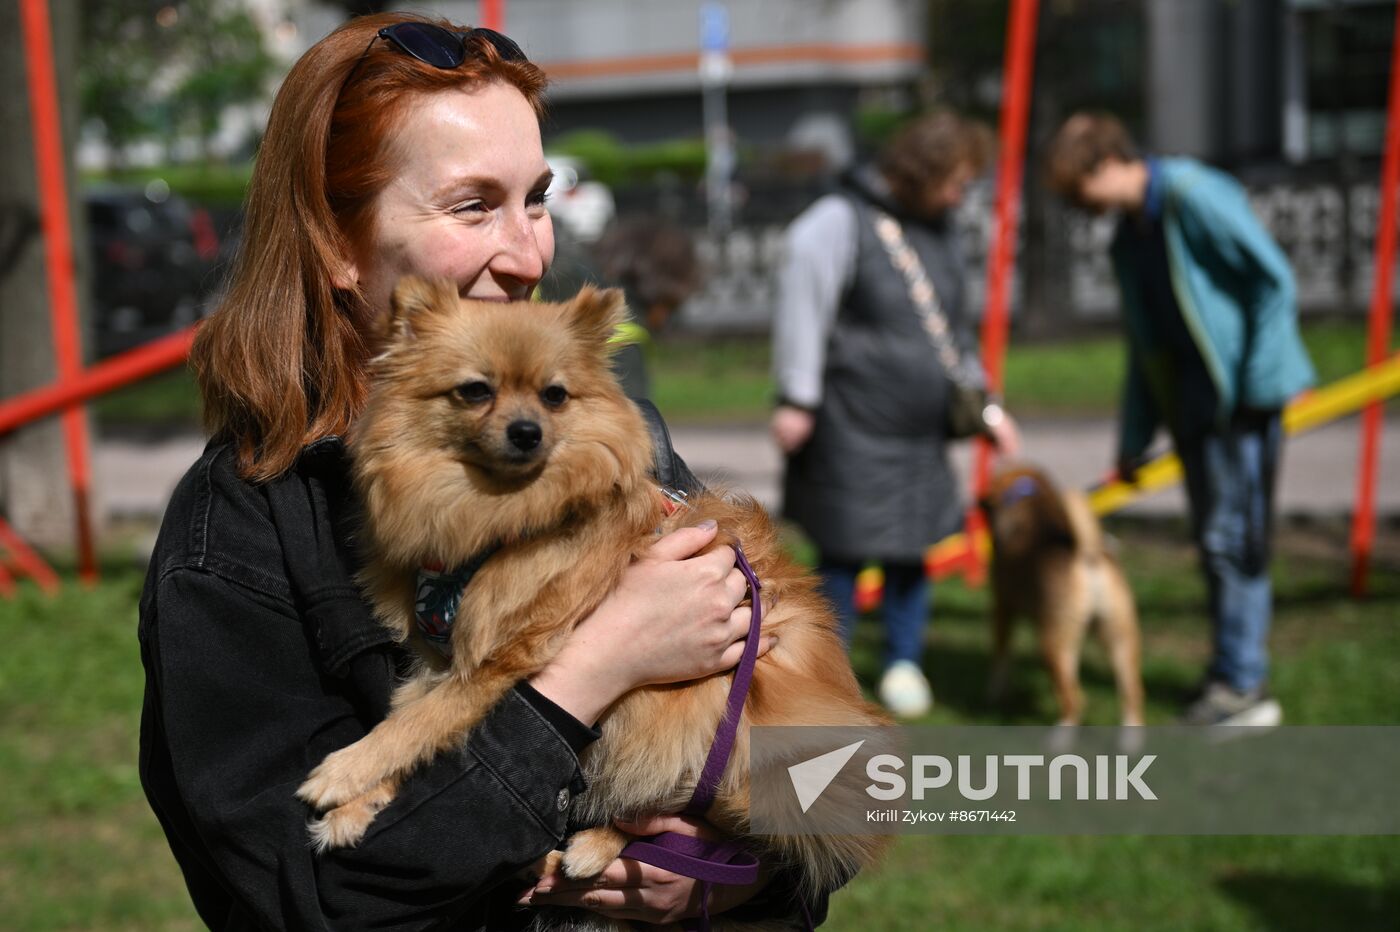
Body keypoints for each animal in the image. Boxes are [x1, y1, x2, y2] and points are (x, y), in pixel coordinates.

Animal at [296, 275, 890, 912]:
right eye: (475, 391)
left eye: (554, 396)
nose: (526, 431)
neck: (498, 519)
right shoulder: (442, 660)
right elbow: (411, 721)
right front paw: (359, 802)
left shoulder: (505, 657)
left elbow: (419, 723)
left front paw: (343, 774)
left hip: (737, 743)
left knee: (707, 822)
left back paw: (592, 846)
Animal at [980, 464, 1142, 727]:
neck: (1029, 497)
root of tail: (1087, 556)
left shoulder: (1002, 606)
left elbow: (1000, 656)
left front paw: (993, 696)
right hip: (1119, 638)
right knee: (1132, 695)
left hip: (1051, 643)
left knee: (1075, 701)